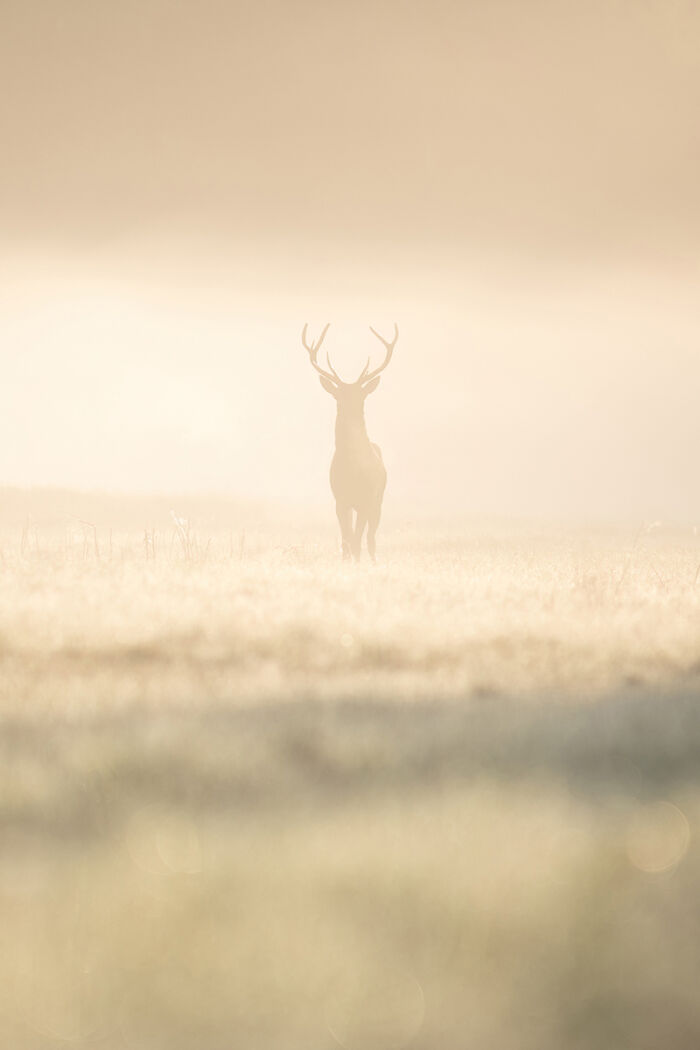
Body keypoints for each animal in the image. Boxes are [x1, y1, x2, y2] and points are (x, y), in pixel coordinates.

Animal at [302, 322, 398, 561]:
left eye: (361, 397)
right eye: (338, 396)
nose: (349, 411)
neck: (353, 468)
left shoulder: (366, 498)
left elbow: (357, 542)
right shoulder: (340, 499)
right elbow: (346, 541)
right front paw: (346, 563)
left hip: (378, 501)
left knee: (370, 540)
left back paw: (373, 561)